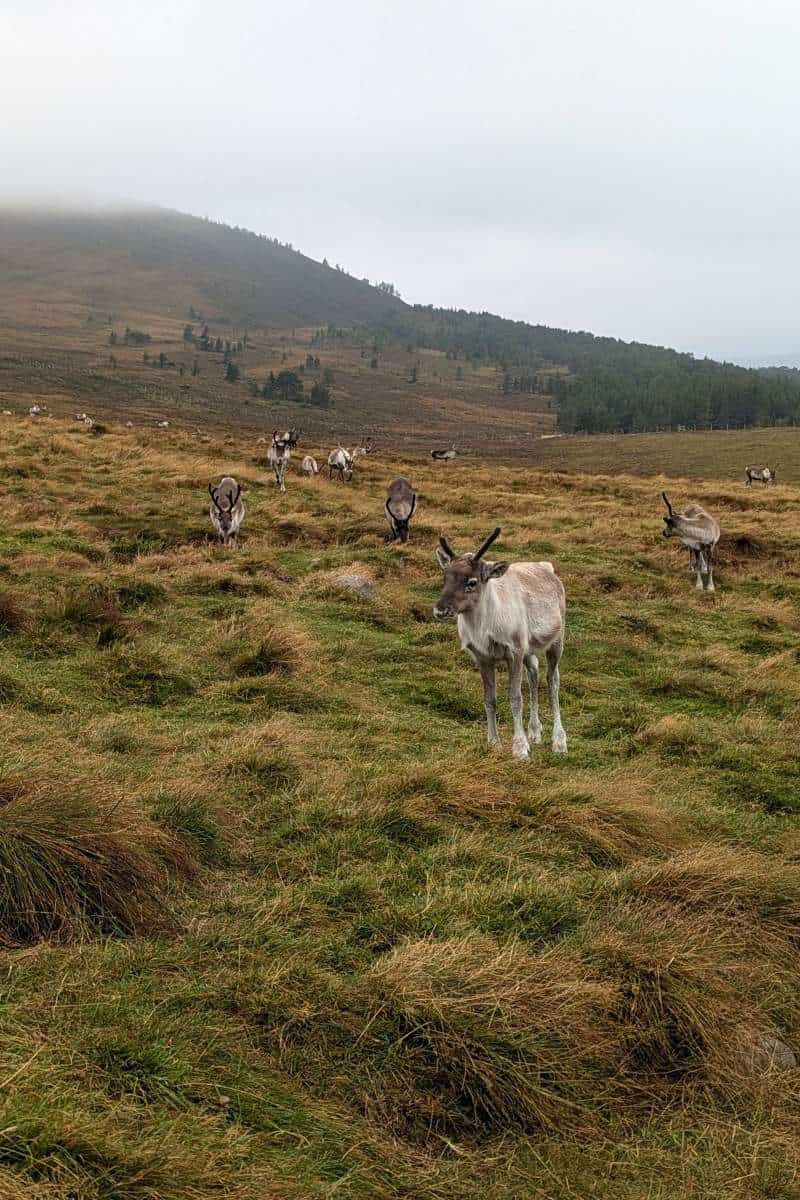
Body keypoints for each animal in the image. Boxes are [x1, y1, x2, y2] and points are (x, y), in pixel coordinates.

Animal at [434, 527, 567, 758]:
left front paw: (520, 747)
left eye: (472, 582)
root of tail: (547, 567)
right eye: (445, 577)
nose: (441, 610)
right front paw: (494, 743)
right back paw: (535, 731)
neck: (484, 629)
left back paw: (559, 741)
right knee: (534, 673)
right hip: (529, 649)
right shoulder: (483, 657)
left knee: (553, 680)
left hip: (556, 640)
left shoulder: (514, 650)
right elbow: (490, 699)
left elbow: (515, 697)